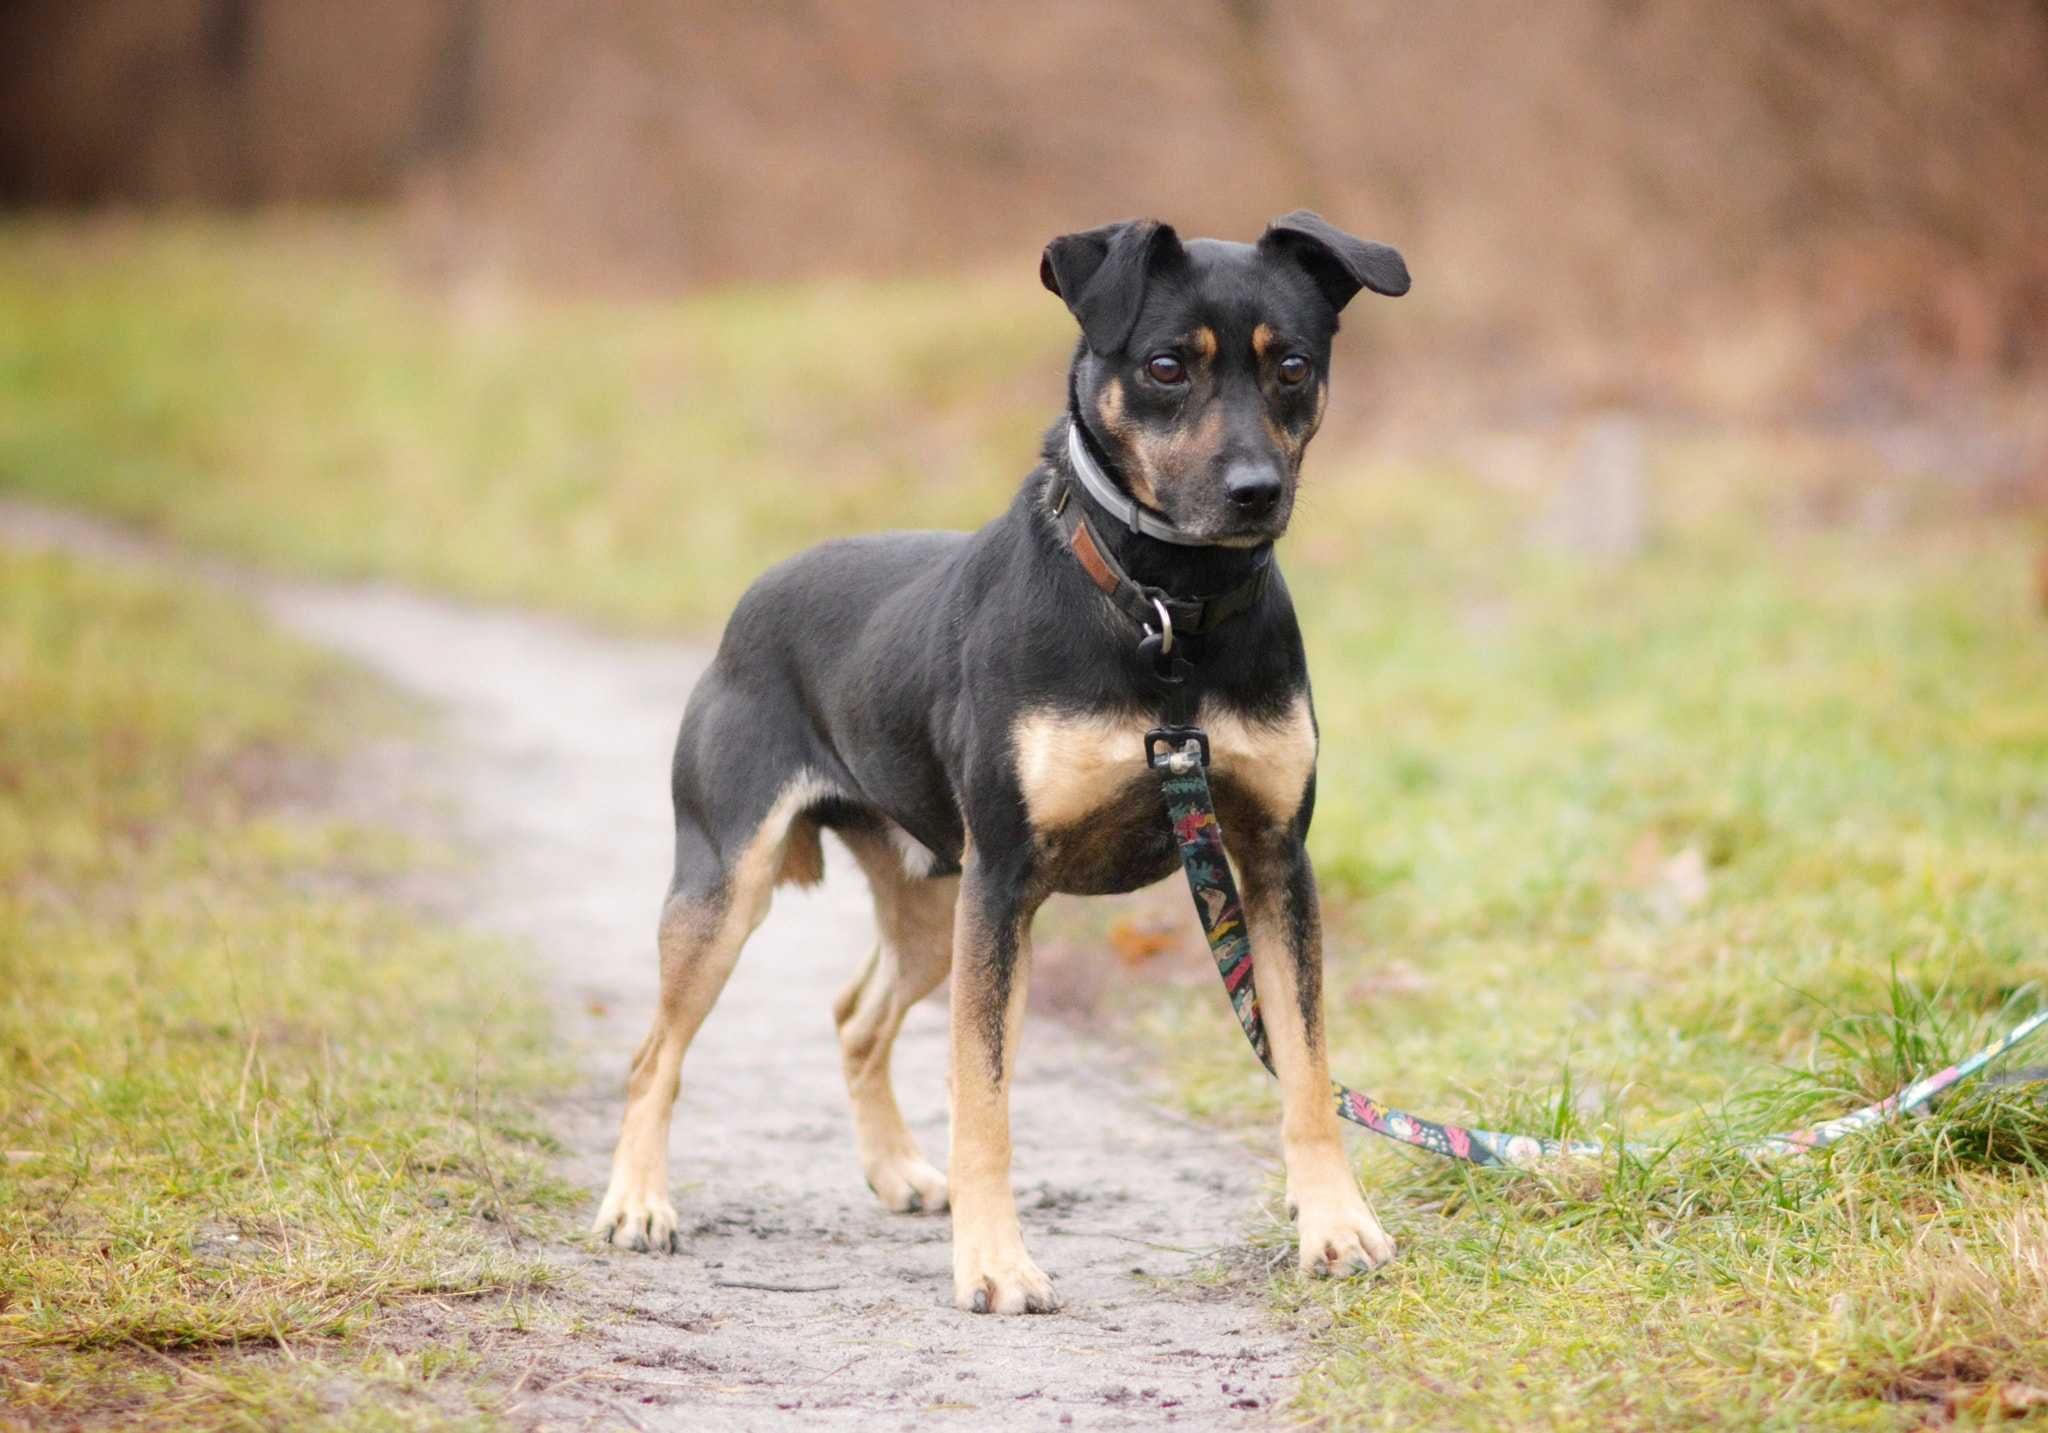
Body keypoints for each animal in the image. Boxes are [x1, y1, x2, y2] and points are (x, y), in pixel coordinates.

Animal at [598, 206, 1409, 1318]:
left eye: (1291, 366)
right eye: (1165, 366)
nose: (1256, 492)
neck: (1165, 611)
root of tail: (753, 597)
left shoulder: (1271, 860)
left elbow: (1307, 1065)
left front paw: (1333, 1221)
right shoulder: (1009, 876)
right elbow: (980, 1096)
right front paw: (994, 1263)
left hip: (932, 899)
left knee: (855, 1016)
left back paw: (896, 1171)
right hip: (736, 884)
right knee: (653, 1052)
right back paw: (636, 1201)